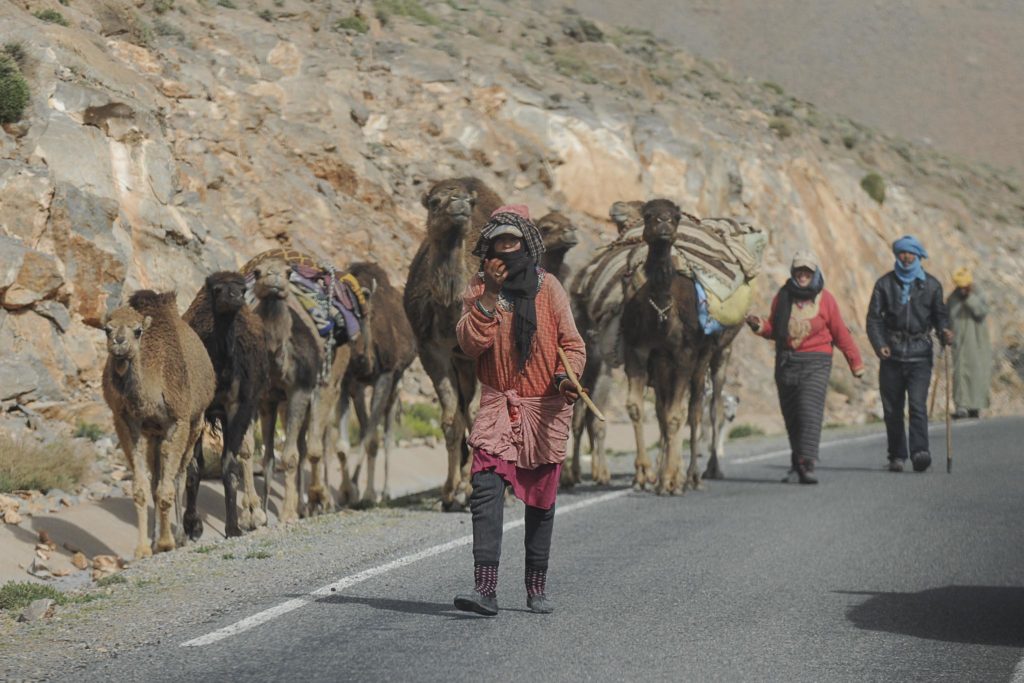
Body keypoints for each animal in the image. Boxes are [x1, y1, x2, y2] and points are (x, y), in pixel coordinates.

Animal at [100, 290, 215, 557]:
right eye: (107, 329)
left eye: (138, 330)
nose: (119, 343)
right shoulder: (127, 423)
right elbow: (142, 489)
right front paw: (143, 548)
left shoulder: (178, 422)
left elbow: (167, 487)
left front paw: (166, 542)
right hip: (154, 434)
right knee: (156, 480)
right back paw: (155, 539)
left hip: (196, 421)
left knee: (181, 474)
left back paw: (180, 536)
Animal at [182, 272, 268, 540]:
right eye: (217, 289)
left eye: (242, 288)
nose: (236, 297)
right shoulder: (197, 410)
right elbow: (193, 468)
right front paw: (192, 525)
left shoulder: (238, 409)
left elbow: (229, 467)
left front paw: (233, 527)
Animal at [337, 262, 413, 507]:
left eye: (365, 313)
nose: (359, 357)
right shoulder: (348, 382)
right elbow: (344, 446)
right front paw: (347, 491)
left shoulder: (385, 376)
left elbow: (373, 440)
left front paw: (369, 494)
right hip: (361, 386)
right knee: (365, 428)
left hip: (396, 381)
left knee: (387, 433)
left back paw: (386, 492)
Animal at [405, 176, 505, 507]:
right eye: (435, 201)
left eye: (469, 202)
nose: (459, 203)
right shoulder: (433, 351)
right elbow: (451, 420)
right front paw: (449, 493)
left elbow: (477, 417)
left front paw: (474, 489)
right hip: (460, 364)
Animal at [618, 200, 741, 493]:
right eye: (648, 215)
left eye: (675, 217)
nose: (663, 223)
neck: (661, 315)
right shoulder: (638, 351)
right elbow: (638, 409)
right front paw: (643, 475)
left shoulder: (684, 354)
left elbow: (677, 416)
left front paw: (671, 481)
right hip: (665, 365)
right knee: (670, 411)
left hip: (707, 356)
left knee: (698, 410)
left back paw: (695, 475)